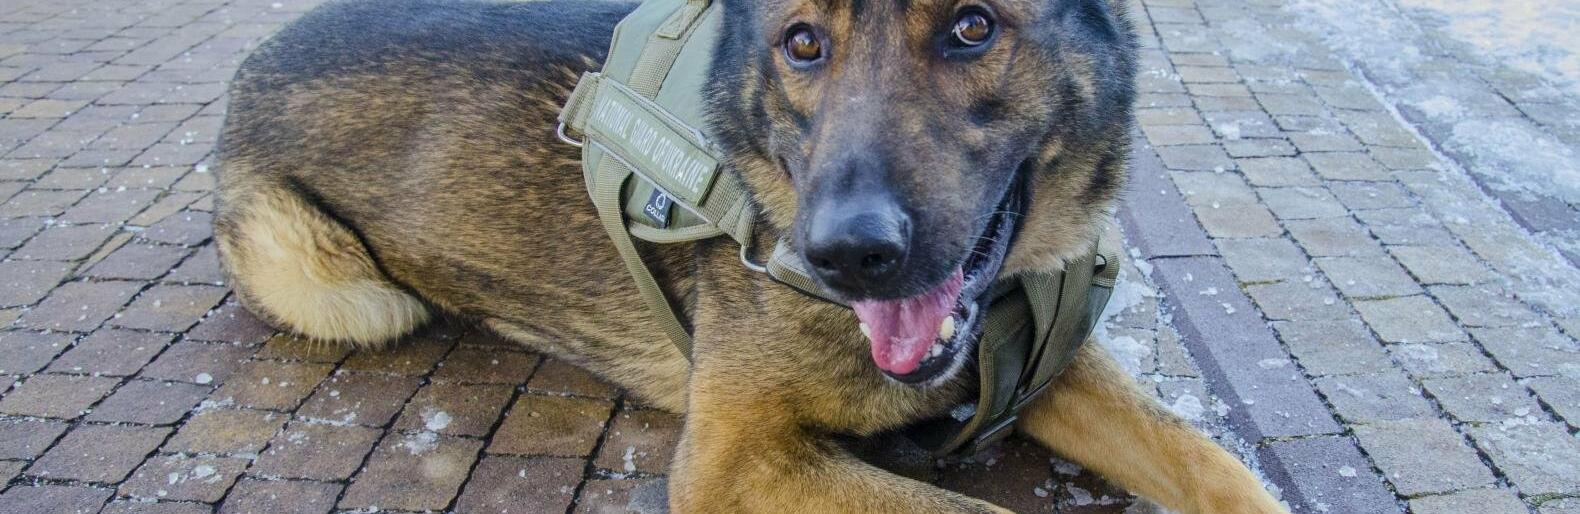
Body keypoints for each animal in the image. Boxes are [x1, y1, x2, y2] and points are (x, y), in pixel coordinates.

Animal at [213, 0, 1287, 511]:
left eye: (973, 26)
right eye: (802, 43)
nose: (846, 254)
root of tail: (250, 60)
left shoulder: (1043, 364)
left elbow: (1215, 465)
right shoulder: (733, 462)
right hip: (346, 290)